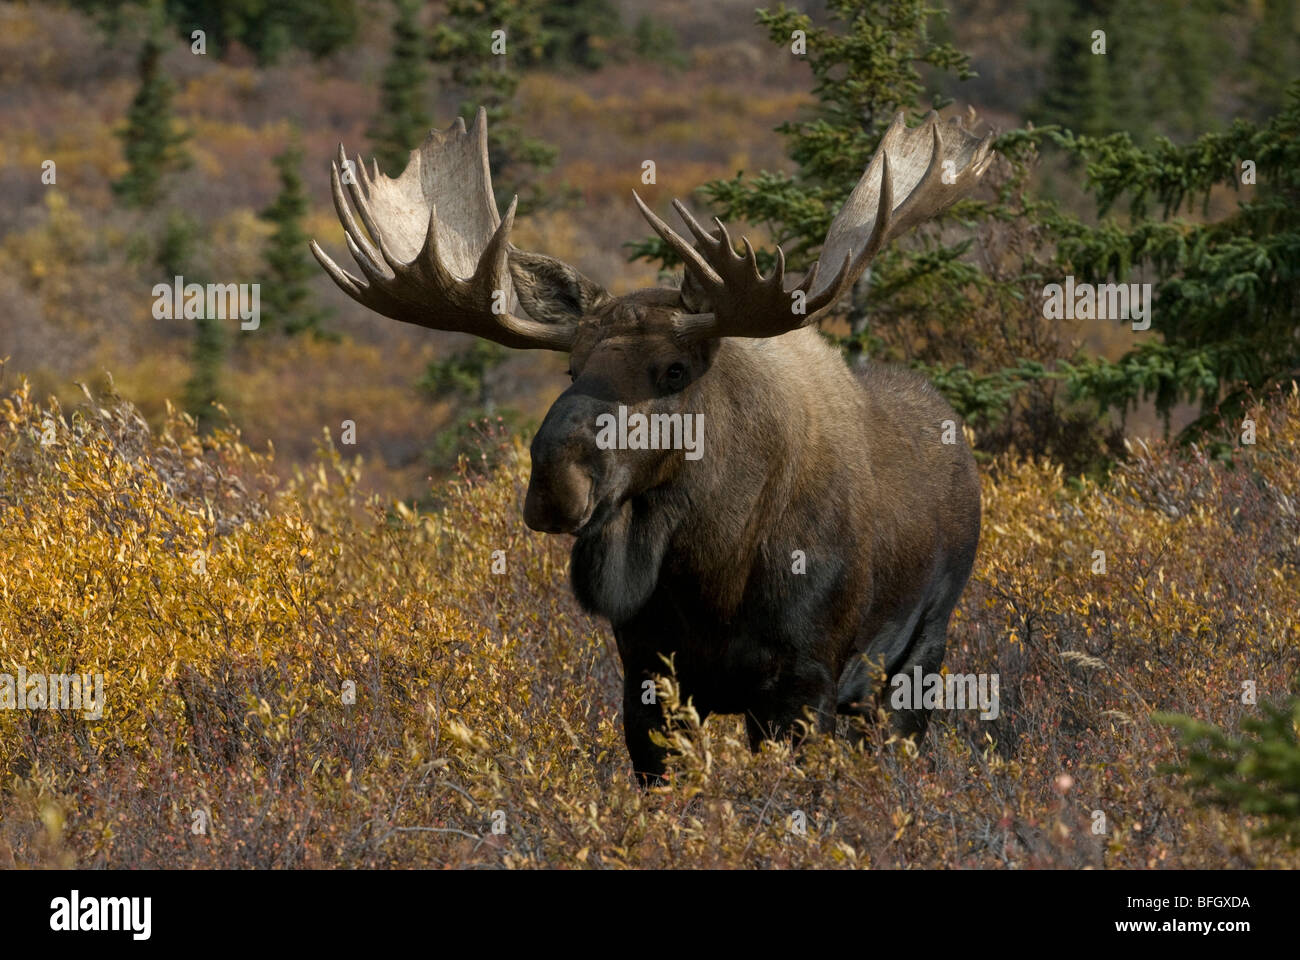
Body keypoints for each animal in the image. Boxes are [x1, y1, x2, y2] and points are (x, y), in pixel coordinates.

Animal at [309, 108, 987, 780]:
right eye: (572, 367)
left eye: (675, 370)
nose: (555, 480)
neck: (710, 570)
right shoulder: (648, 674)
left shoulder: (804, 678)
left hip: (919, 654)